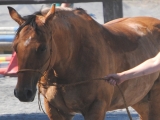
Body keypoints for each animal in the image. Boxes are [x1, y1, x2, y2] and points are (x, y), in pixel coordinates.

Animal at [8, 5, 160, 119]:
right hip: (140, 100)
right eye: (15, 46)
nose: (23, 93)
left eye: (42, 48)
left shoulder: (96, 108)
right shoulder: (56, 110)